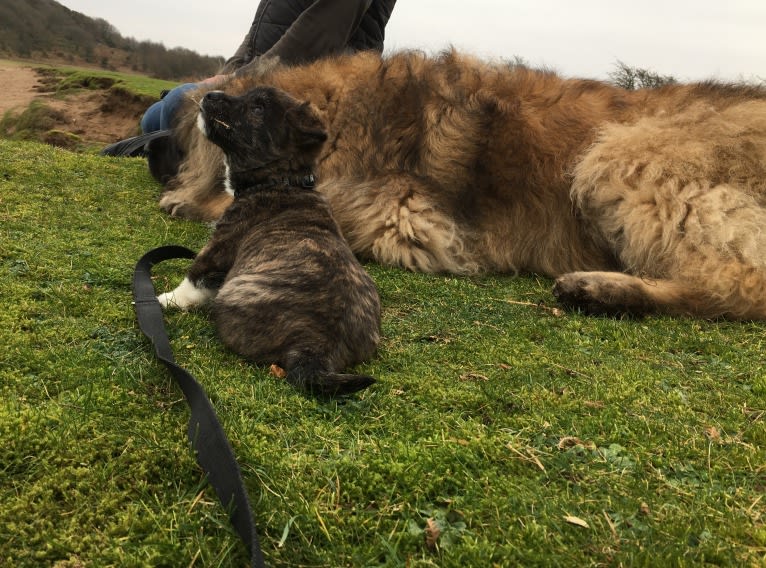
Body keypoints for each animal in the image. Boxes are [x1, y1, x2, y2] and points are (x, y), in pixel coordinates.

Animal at [158, 86, 380, 394]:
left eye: (258, 108)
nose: (211, 94)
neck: (281, 181)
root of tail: (315, 348)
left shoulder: (220, 246)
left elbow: (193, 280)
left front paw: (164, 300)